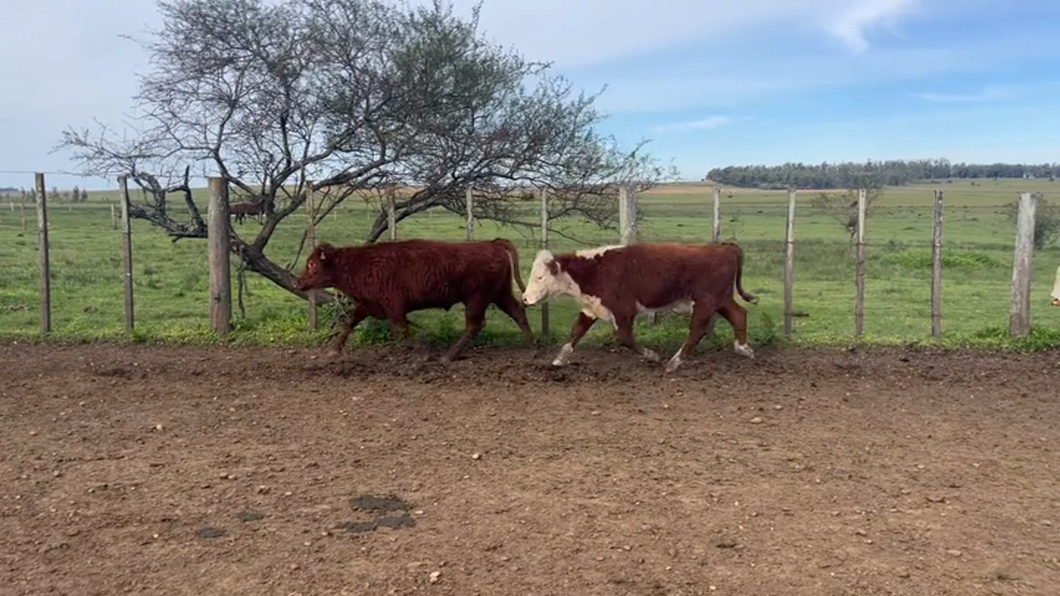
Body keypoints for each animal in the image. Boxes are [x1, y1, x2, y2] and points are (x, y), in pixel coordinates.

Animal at [294, 237, 534, 362]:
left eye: (312, 264)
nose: (298, 283)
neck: (361, 263)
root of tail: (493, 243)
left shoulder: (394, 308)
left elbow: (401, 332)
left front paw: (416, 352)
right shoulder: (368, 305)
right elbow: (350, 323)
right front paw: (334, 350)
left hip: (477, 299)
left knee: (475, 325)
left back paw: (448, 356)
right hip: (500, 295)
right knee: (517, 312)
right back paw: (531, 348)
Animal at [519, 238, 754, 369]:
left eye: (539, 277)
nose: (525, 298)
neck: (597, 270)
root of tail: (725, 248)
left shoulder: (624, 311)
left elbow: (623, 338)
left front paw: (652, 355)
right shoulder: (592, 308)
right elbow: (576, 332)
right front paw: (559, 360)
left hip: (706, 301)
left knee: (698, 329)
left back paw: (674, 362)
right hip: (721, 299)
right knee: (739, 314)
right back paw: (743, 348)